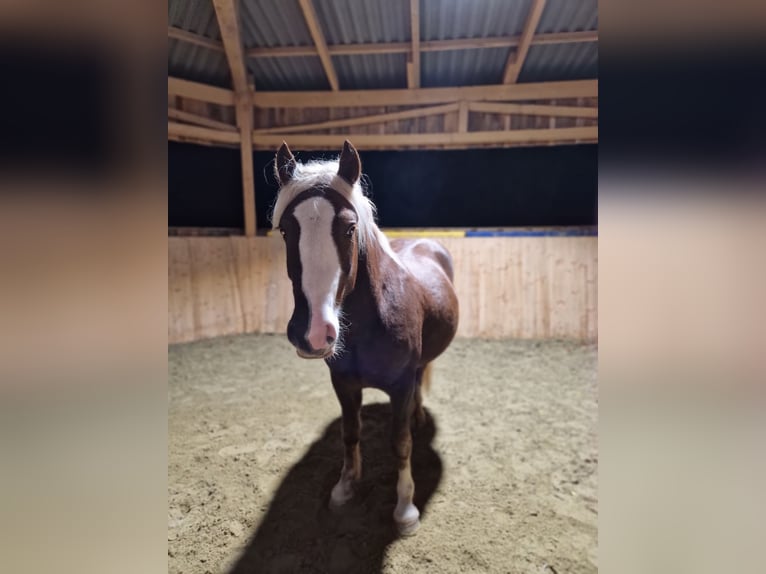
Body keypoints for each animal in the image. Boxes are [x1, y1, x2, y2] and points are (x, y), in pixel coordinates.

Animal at [270, 140, 459, 535]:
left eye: (349, 228)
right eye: (285, 230)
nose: (312, 332)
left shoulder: (400, 387)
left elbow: (400, 444)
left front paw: (405, 509)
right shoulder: (343, 384)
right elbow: (350, 433)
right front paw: (345, 486)